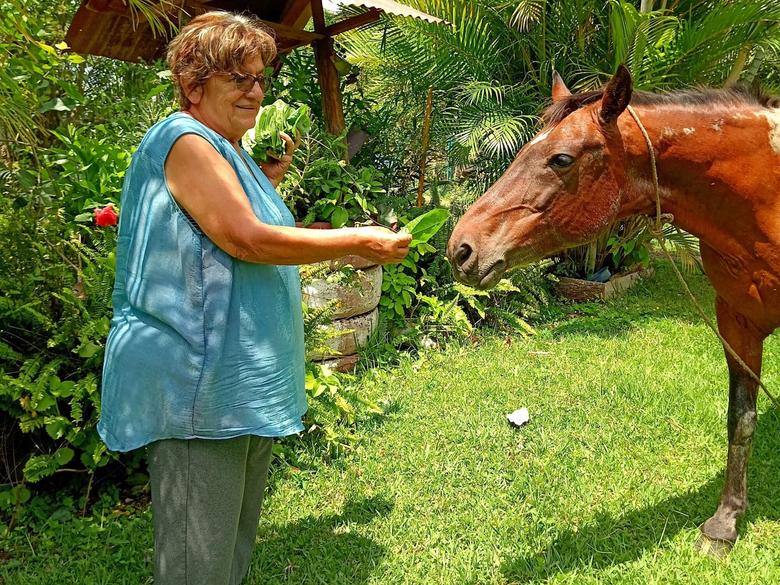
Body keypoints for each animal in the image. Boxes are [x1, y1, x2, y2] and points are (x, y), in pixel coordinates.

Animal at [447, 65, 780, 555]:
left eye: (561, 159)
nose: (462, 248)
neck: (766, 200)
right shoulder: (736, 322)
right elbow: (741, 420)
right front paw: (725, 522)